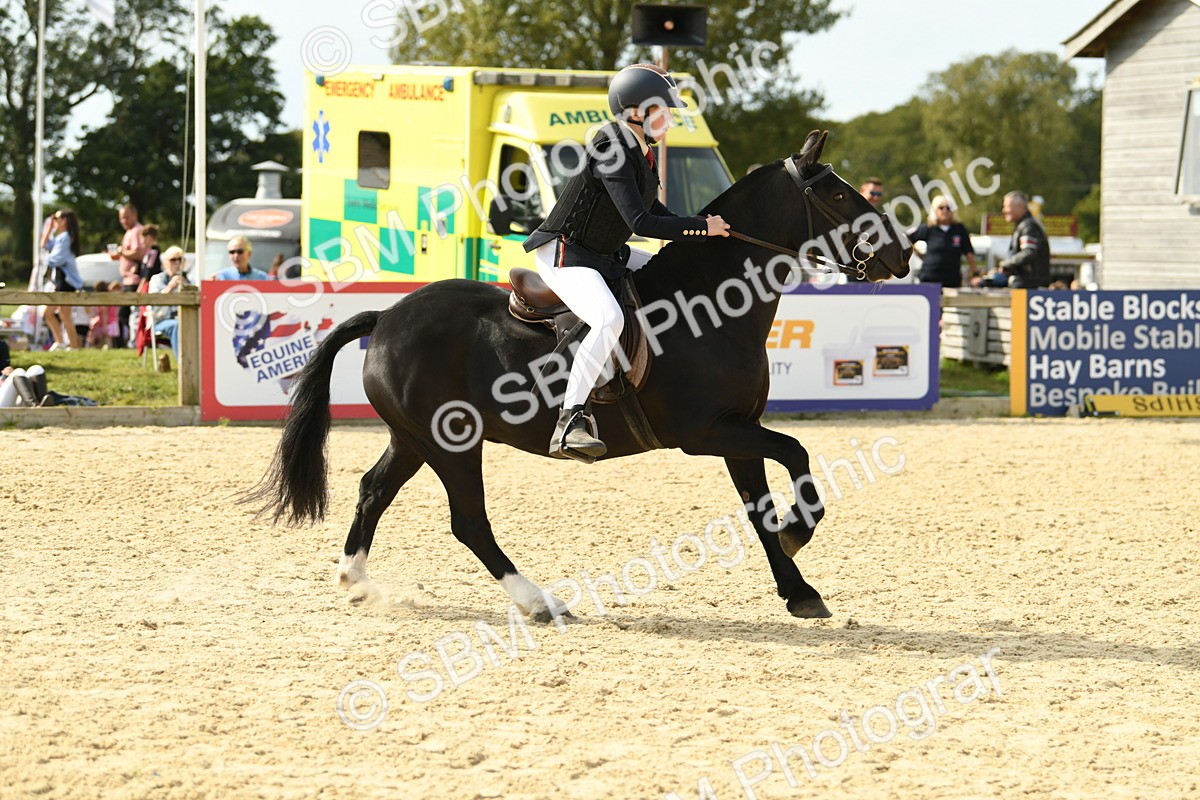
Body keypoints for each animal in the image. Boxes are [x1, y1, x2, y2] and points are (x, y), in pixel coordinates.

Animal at [246, 130, 911, 622]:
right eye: (840, 196)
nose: (902, 255)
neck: (711, 303)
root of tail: (386, 315)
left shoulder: (736, 431)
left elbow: (760, 508)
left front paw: (799, 591)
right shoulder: (705, 432)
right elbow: (796, 453)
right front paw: (803, 530)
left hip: (412, 439)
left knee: (372, 492)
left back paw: (355, 580)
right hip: (450, 444)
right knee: (469, 522)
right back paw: (540, 602)